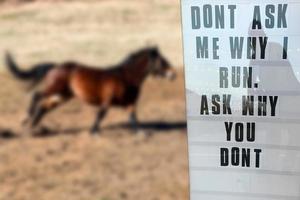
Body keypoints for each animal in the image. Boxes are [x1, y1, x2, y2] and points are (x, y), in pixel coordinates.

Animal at [14, 47, 176, 134]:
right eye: (162, 61)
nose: (173, 74)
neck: (125, 77)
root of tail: (55, 66)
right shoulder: (107, 101)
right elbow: (101, 115)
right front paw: (93, 132)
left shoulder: (129, 103)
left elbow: (133, 117)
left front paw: (141, 133)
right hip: (55, 89)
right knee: (36, 95)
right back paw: (26, 119)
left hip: (62, 95)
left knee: (43, 107)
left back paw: (33, 126)